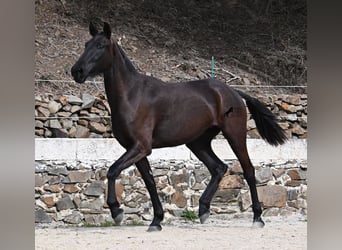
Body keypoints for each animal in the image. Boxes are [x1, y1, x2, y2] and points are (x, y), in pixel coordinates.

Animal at [71, 22, 286, 231]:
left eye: (101, 45)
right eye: (86, 45)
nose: (77, 71)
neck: (132, 95)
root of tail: (233, 92)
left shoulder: (141, 147)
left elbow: (113, 170)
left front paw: (117, 211)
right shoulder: (136, 149)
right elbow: (149, 181)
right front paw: (156, 220)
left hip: (235, 135)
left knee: (248, 170)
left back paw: (257, 218)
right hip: (198, 142)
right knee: (218, 168)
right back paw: (203, 210)